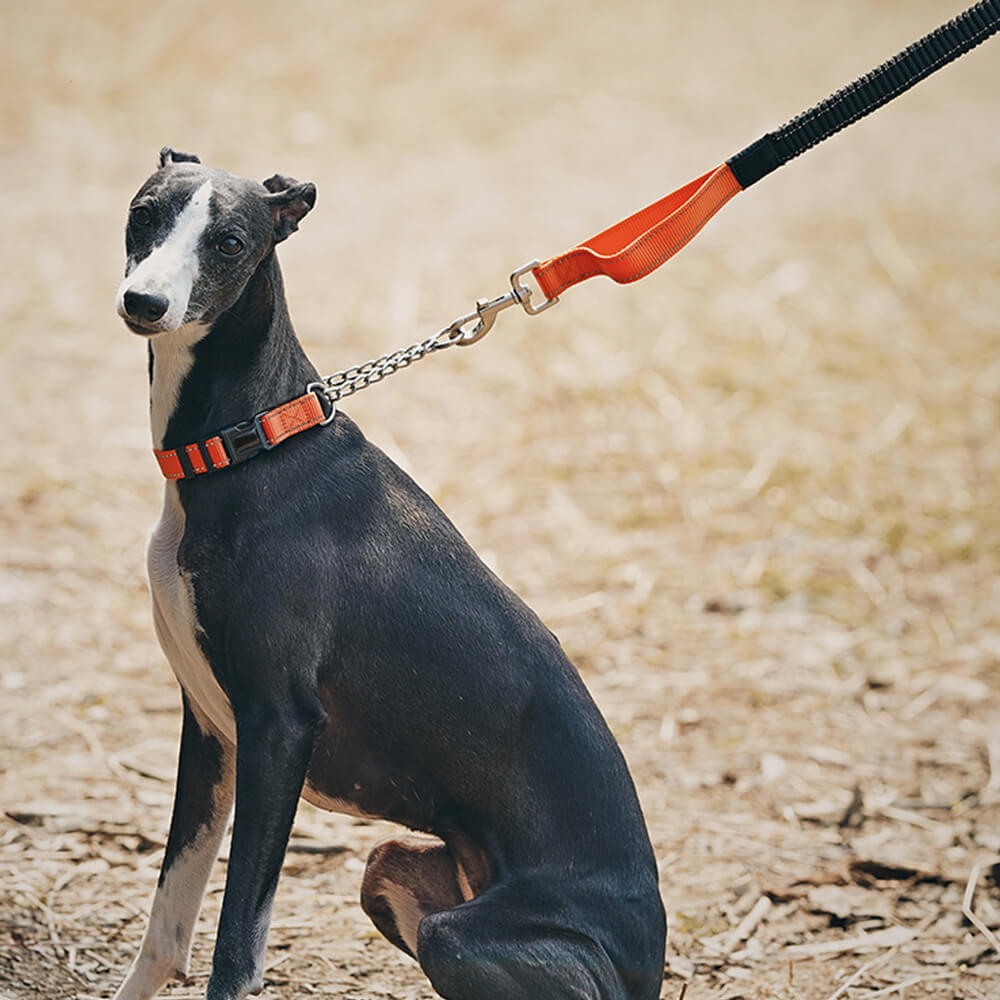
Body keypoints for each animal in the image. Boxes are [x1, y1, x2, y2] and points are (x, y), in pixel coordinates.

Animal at [111, 148, 664, 1000]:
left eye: (230, 243)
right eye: (144, 213)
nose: (145, 302)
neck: (249, 442)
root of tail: (653, 955)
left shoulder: (279, 725)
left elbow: (236, 949)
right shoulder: (211, 727)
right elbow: (168, 928)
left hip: (461, 935)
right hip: (394, 870)